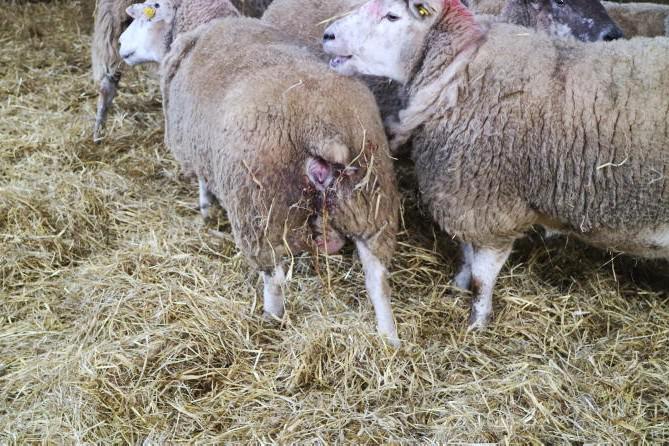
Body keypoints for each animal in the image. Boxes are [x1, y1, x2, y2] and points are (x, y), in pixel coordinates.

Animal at [119, 1, 402, 345]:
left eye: (147, 13)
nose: (120, 45)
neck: (203, 24)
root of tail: (324, 130)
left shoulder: (199, 150)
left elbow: (203, 183)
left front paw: (204, 210)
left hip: (262, 206)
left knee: (274, 275)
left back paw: (271, 318)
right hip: (370, 200)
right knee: (378, 277)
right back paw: (389, 338)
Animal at [323, 0, 669, 329]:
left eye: (392, 16)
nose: (327, 36)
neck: (458, 69)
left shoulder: (495, 207)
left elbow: (483, 277)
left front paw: (475, 324)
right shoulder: (466, 191)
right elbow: (465, 251)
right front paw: (457, 285)